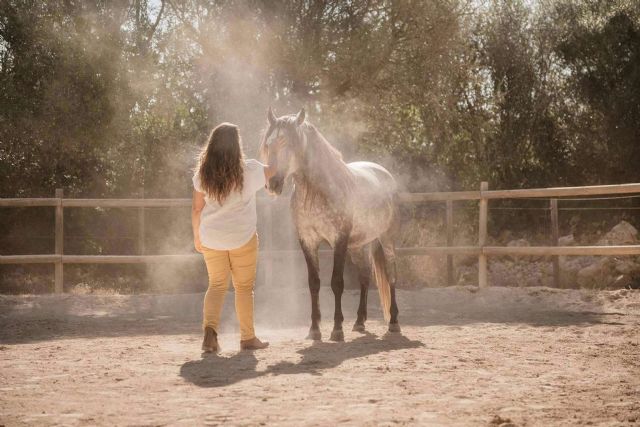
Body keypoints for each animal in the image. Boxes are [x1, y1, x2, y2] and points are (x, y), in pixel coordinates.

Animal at [260, 108, 400, 342]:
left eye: (288, 143)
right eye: (268, 145)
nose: (273, 184)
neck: (315, 193)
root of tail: (385, 173)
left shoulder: (339, 241)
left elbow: (336, 282)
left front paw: (336, 329)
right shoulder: (307, 241)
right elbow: (314, 283)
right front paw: (314, 330)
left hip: (386, 238)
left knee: (391, 275)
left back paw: (394, 323)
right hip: (358, 245)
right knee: (365, 275)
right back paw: (359, 322)